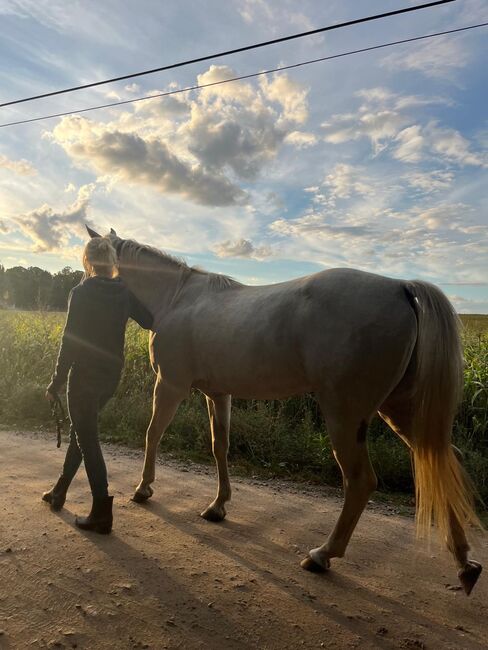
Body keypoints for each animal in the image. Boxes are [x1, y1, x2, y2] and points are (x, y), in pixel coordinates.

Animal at [86, 227, 480, 592]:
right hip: (400, 410)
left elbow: (153, 434)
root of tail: (400, 287)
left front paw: (143, 488)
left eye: (91, 263)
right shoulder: (218, 394)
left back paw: (322, 554)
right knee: (442, 460)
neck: (176, 297)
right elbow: (219, 447)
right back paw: (464, 562)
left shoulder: (170, 385)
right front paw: (218, 505)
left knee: (360, 481)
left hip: (346, 416)